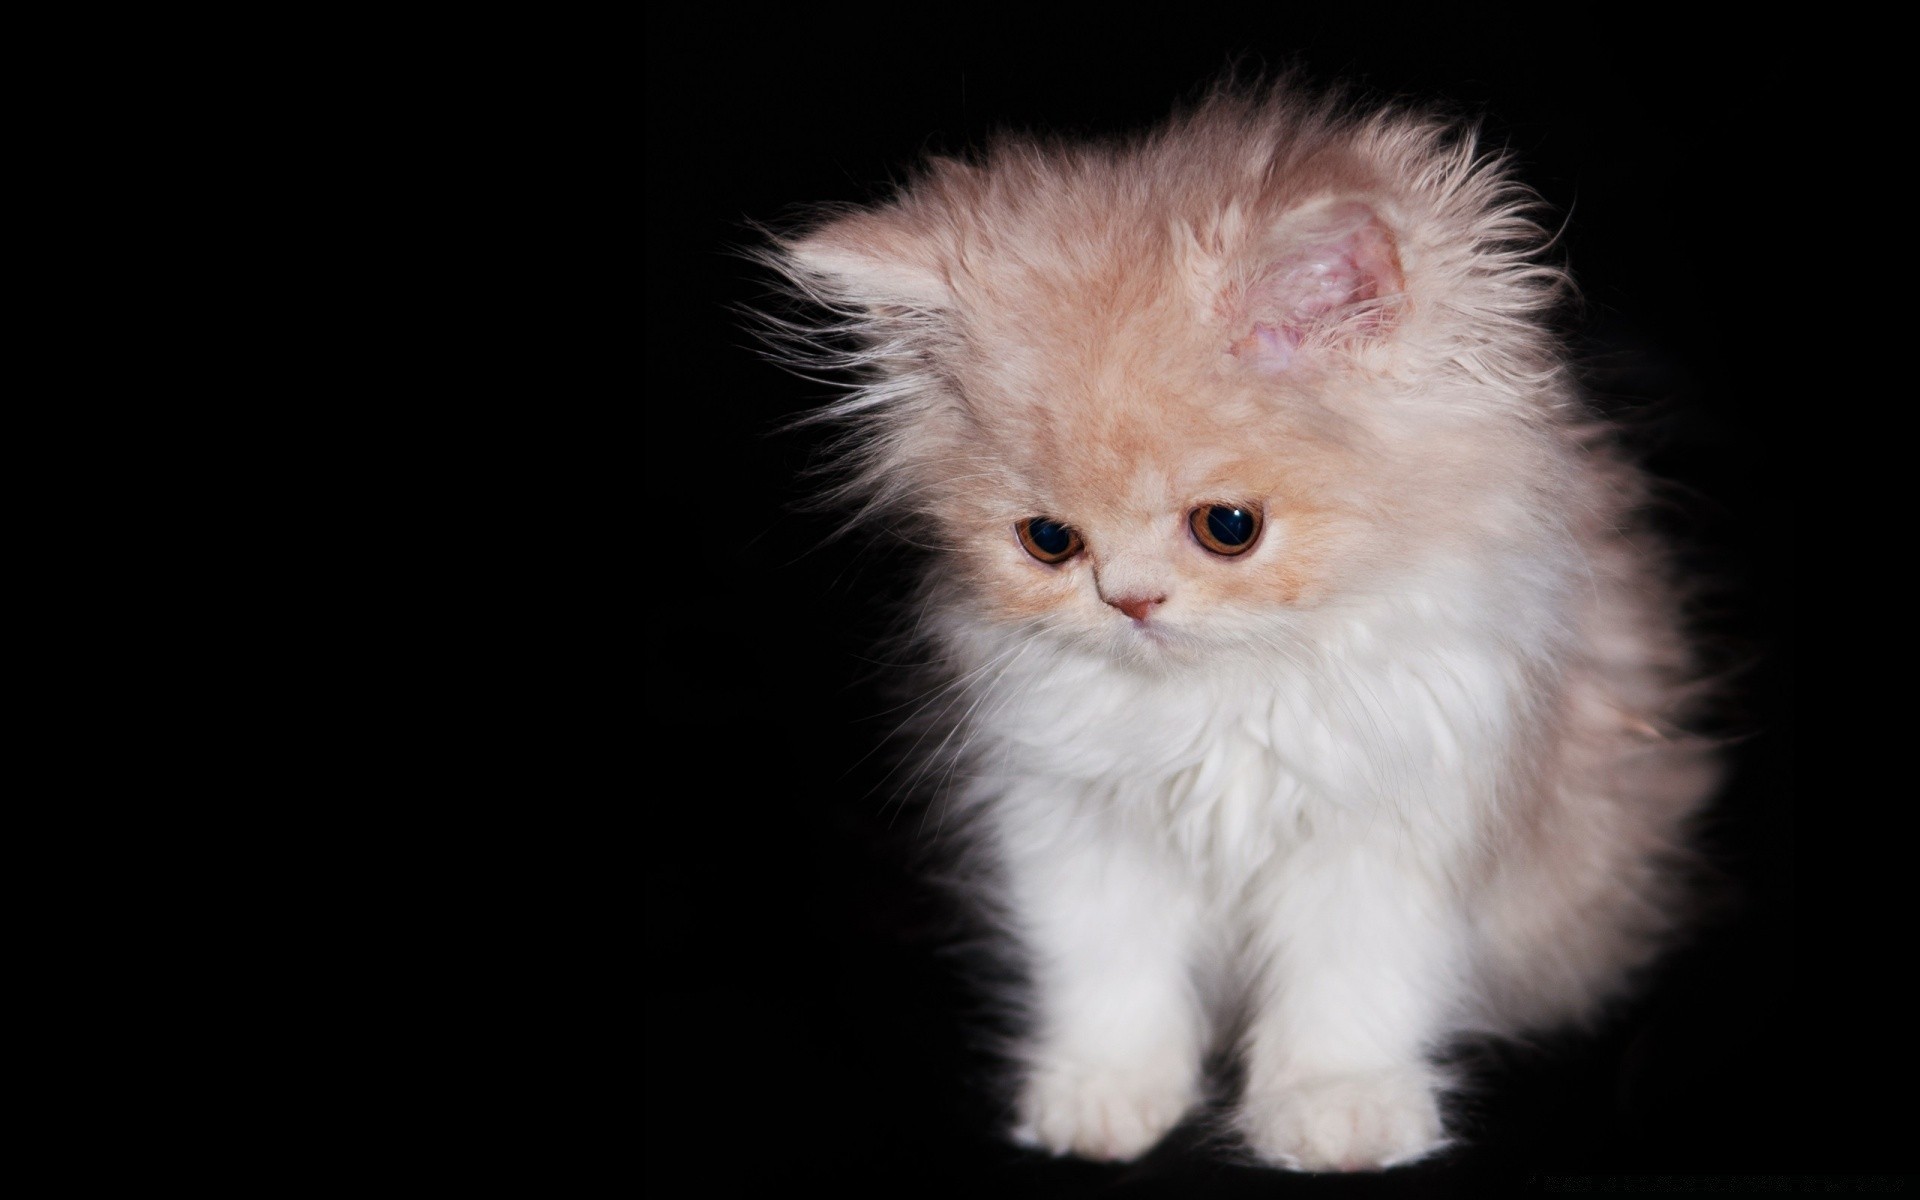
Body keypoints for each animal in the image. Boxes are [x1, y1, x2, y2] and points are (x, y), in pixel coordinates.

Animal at [756, 86, 1720, 1167]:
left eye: (1228, 527)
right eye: (1049, 541)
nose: (1130, 602)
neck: (1224, 699)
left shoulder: (1400, 815)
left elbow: (1351, 986)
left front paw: (1337, 1111)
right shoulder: (1070, 817)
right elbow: (1107, 970)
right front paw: (1105, 1097)